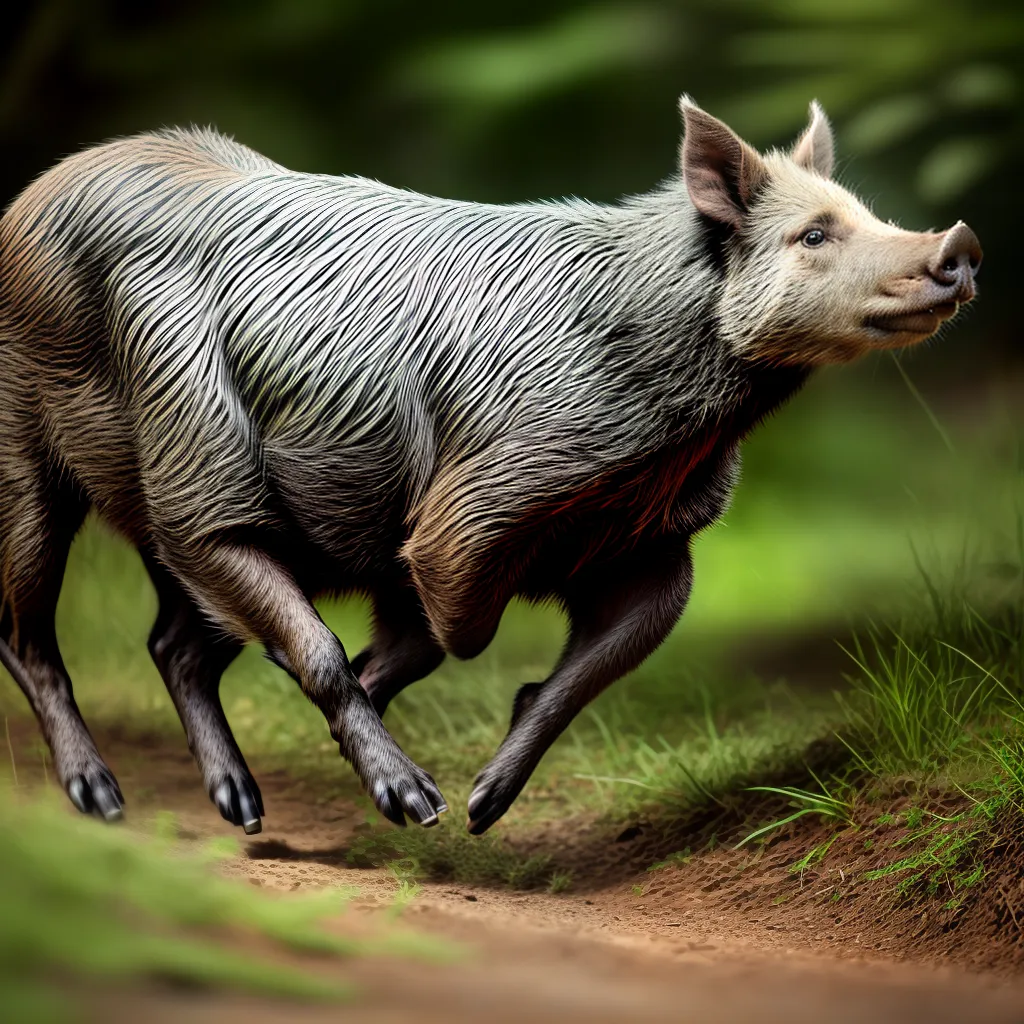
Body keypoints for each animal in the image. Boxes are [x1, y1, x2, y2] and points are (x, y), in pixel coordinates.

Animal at [0, 97, 981, 835]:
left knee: (175, 641)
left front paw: (479, 811)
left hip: (178, 505)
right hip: (107, 452)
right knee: (35, 627)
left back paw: (243, 811)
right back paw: (107, 803)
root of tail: (31, 194)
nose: (959, 243)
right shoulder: (474, 503)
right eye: (813, 234)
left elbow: (574, 665)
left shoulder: (655, 543)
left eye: (865, 214)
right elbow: (431, 624)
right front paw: (430, 809)